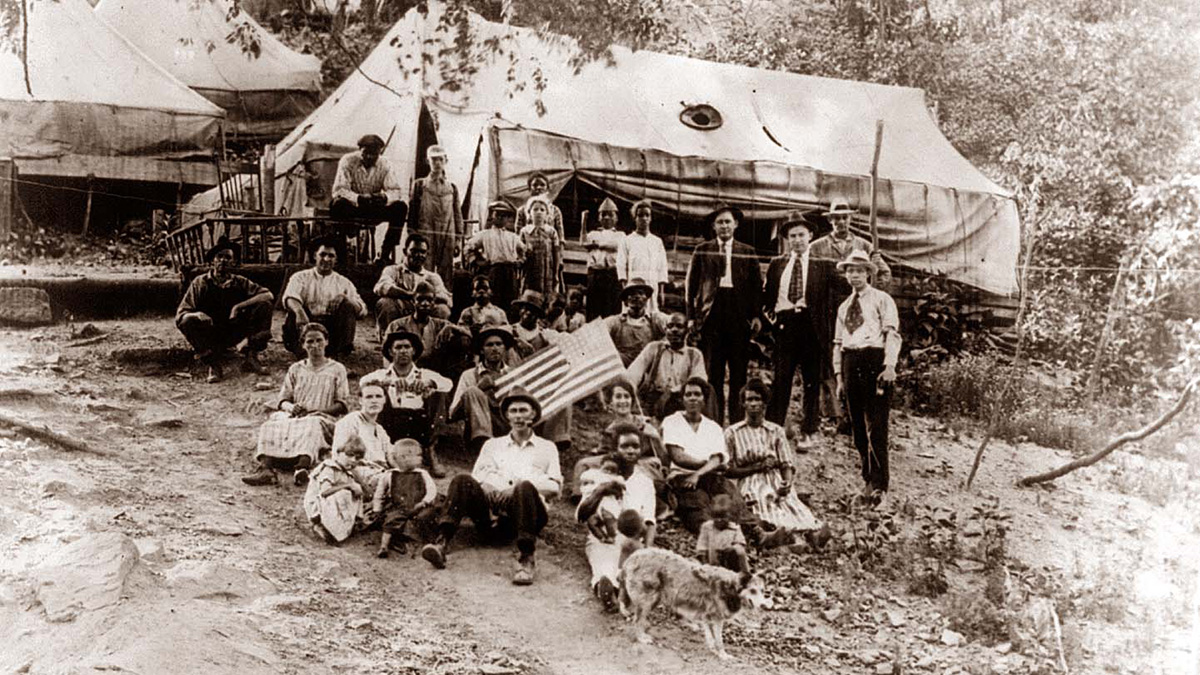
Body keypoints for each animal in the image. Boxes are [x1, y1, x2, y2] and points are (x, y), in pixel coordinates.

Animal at [614, 547, 772, 658]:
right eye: (752, 591)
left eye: (762, 591)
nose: (764, 605)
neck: (730, 587)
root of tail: (632, 557)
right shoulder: (716, 619)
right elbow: (719, 640)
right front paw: (723, 655)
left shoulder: (707, 618)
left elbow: (711, 638)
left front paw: (714, 650)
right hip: (647, 601)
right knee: (636, 621)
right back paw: (641, 638)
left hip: (653, 600)